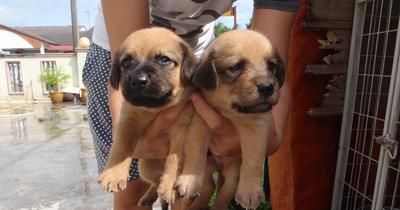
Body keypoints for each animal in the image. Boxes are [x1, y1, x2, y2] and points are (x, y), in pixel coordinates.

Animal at [95, 27, 205, 208]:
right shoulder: (128, 121)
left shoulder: (181, 129)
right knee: (155, 182)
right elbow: (121, 147)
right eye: (126, 62)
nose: (138, 80)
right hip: (144, 167)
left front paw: (170, 185)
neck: (155, 109)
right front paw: (114, 174)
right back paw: (149, 196)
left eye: (164, 59)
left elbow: (174, 159)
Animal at [189, 29, 286, 208]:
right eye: (236, 66)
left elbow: (253, 160)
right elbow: (195, 148)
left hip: (232, 175)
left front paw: (249, 192)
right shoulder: (199, 120)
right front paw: (189, 180)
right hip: (208, 168)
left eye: (271, 65)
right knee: (207, 187)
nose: (267, 87)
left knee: (223, 194)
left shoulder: (256, 130)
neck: (230, 112)